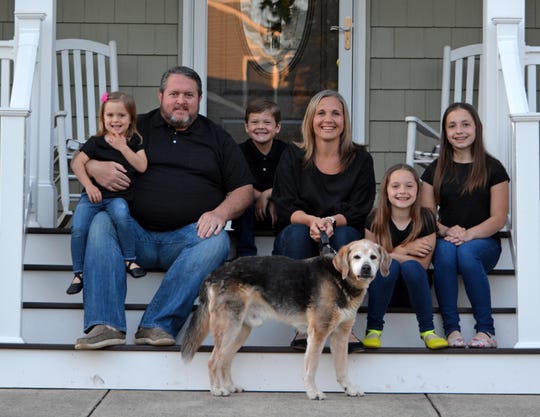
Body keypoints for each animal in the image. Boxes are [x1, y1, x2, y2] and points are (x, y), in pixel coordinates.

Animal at [180, 239, 388, 398]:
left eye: (373, 257)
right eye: (356, 257)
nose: (366, 268)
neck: (341, 279)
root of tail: (214, 273)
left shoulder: (341, 336)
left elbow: (342, 368)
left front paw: (349, 389)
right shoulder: (318, 333)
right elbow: (311, 367)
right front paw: (312, 392)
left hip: (240, 331)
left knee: (225, 360)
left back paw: (230, 386)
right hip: (229, 328)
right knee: (213, 361)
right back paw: (217, 390)